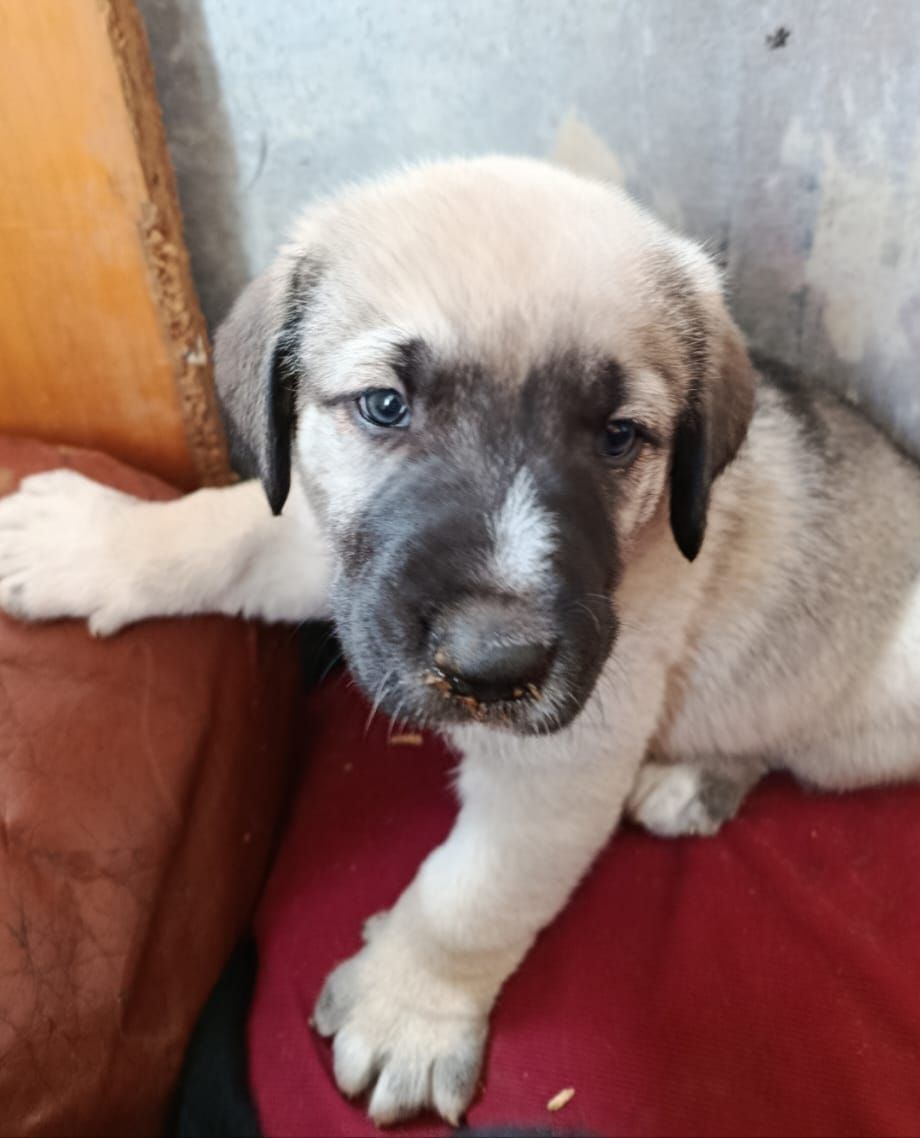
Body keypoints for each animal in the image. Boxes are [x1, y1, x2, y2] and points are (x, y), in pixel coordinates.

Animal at [1, 157, 919, 1127]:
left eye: (618, 436)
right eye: (384, 405)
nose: (494, 665)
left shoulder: (559, 764)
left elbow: (470, 895)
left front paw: (405, 1010)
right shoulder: (341, 560)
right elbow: (232, 531)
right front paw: (95, 542)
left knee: (794, 736)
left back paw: (697, 778)